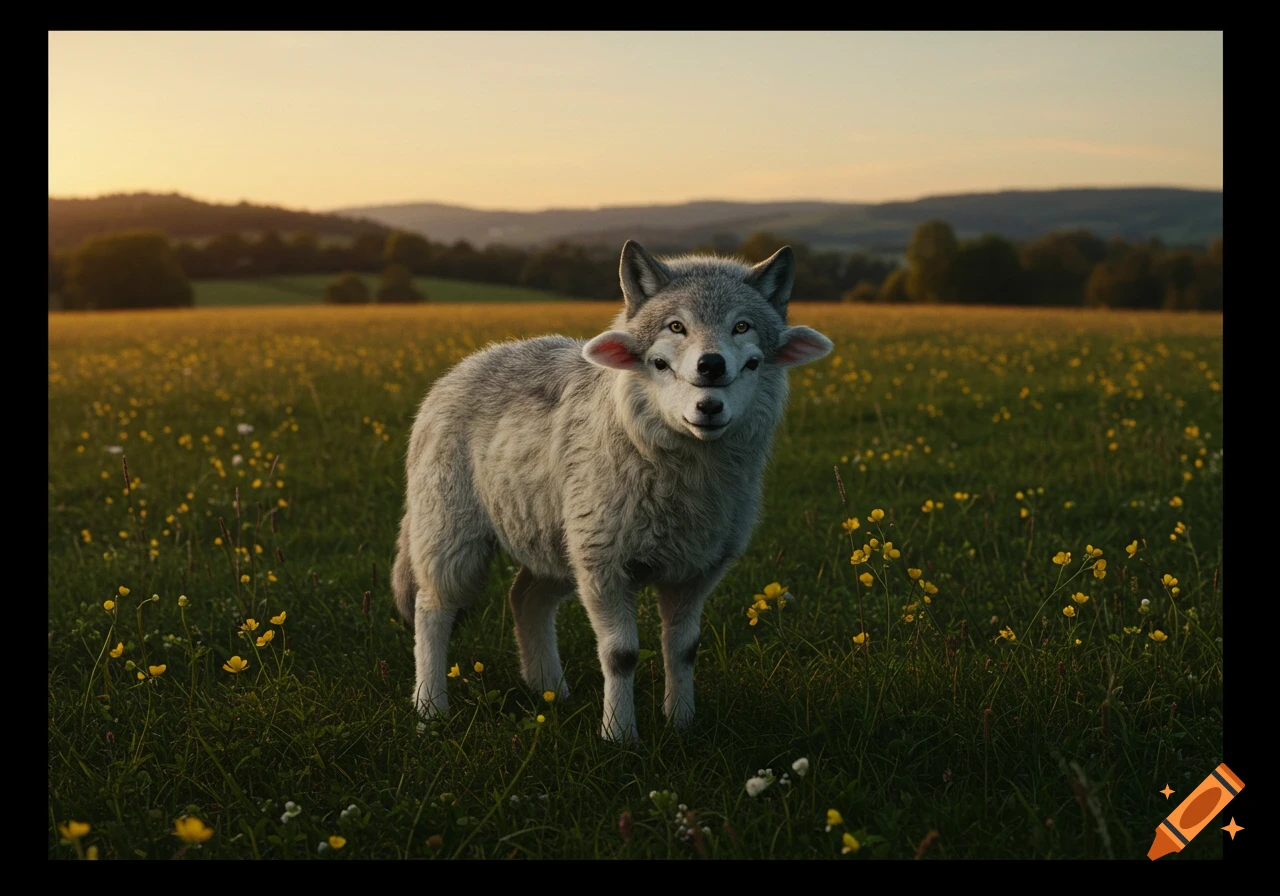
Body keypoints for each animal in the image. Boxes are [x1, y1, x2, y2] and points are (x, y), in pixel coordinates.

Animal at [391, 240, 833, 742]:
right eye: (669, 340)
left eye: (746, 336)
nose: (711, 375)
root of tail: (472, 362)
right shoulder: (606, 566)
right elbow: (620, 655)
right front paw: (620, 735)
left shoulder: (696, 568)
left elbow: (684, 648)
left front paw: (681, 724)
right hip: (452, 530)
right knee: (432, 608)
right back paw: (430, 708)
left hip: (557, 539)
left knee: (526, 598)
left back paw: (550, 690)